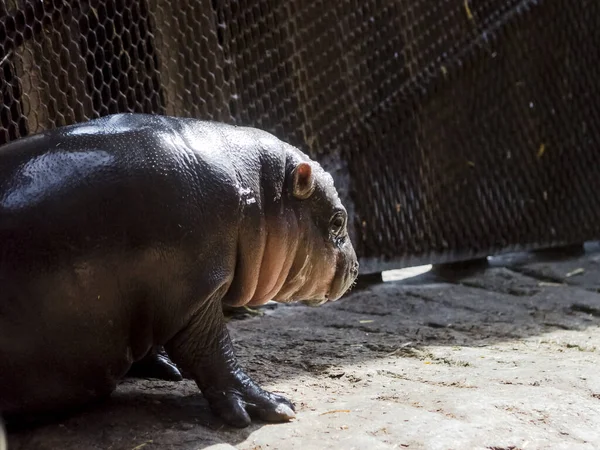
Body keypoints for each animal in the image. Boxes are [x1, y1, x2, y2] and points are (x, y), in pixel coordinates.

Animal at [0, 113, 358, 428]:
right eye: (338, 220)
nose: (356, 269)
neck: (258, 192)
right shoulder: (193, 294)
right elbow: (212, 351)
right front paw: (274, 406)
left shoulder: (148, 303)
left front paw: (167, 367)